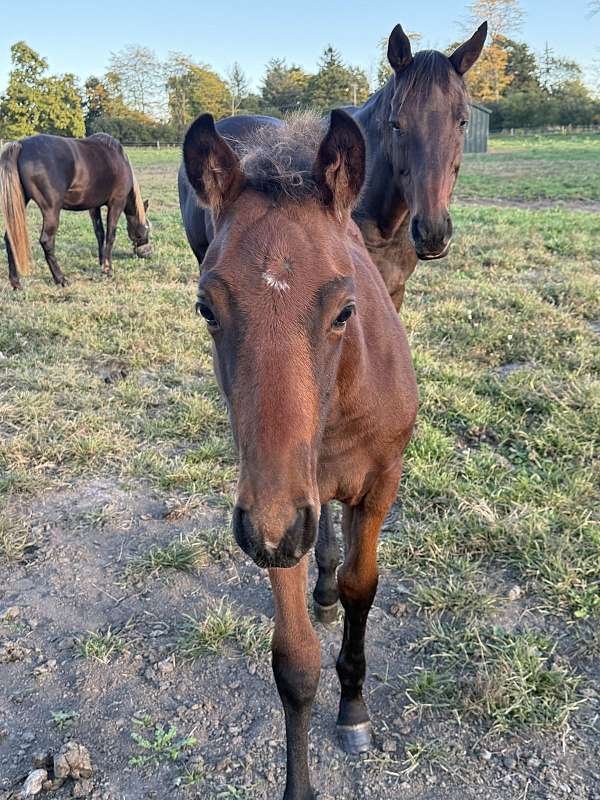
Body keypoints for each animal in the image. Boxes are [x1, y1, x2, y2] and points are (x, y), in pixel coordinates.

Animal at [0, 133, 151, 289]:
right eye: (147, 227)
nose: (147, 253)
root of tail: (20, 145)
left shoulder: (94, 206)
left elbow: (100, 233)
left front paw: (101, 262)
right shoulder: (116, 203)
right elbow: (110, 235)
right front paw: (107, 269)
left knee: (10, 238)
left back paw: (16, 283)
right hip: (51, 210)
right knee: (47, 241)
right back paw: (61, 279)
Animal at [182, 109, 418, 799]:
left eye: (345, 310)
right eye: (206, 307)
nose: (277, 531)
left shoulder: (377, 484)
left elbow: (364, 587)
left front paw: (355, 710)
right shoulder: (273, 502)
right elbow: (293, 661)